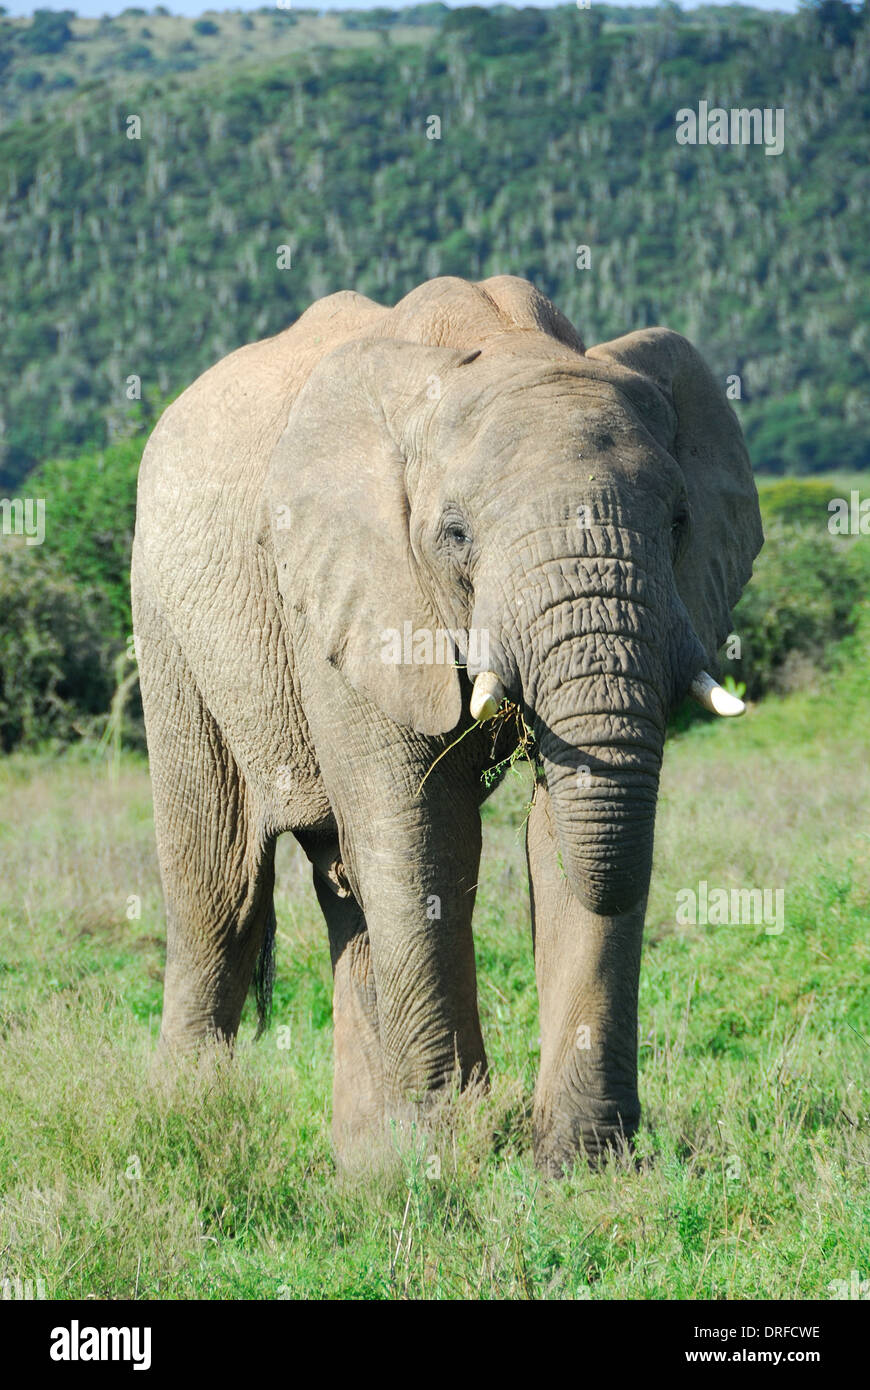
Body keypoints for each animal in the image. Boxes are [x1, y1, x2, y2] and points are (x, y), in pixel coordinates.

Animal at [130, 273, 756, 1173]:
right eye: (454, 534)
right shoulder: (351, 590)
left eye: (677, 521)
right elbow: (424, 834)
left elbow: (564, 831)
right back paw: (186, 1127)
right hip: (167, 618)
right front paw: (452, 1153)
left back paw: (362, 1164)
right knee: (217, 889)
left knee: (344, 890)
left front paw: (579, 1162)